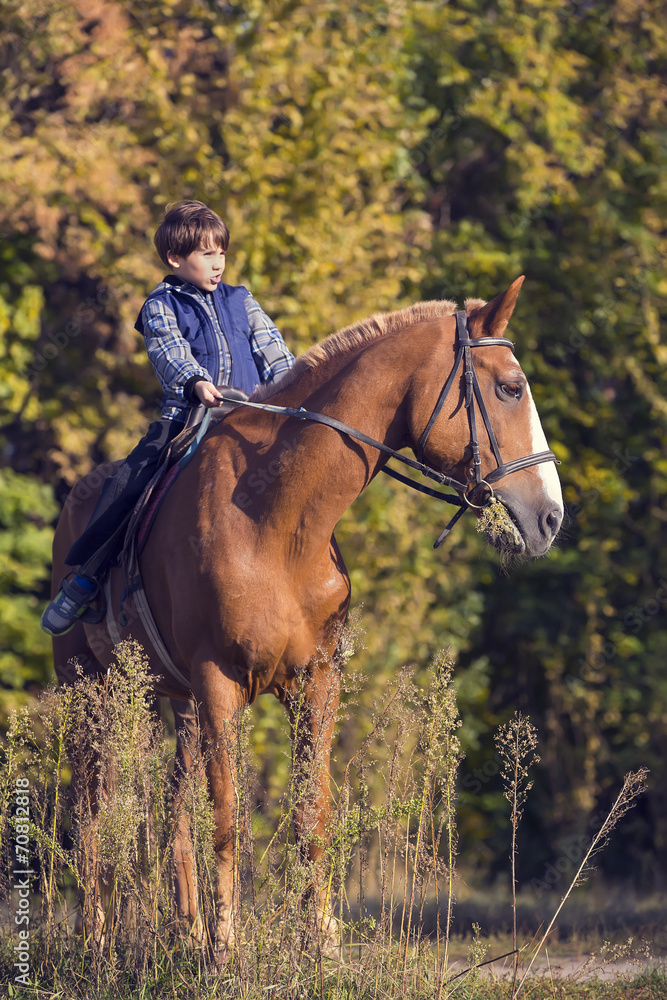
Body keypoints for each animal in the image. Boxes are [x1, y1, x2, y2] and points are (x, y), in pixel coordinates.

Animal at [50, 276, 563, 957]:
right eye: (510, 387)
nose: (551, 518)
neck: (276, 520)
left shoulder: (314, 684)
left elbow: (309, 810)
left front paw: (318, 940)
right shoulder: (218, 684)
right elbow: (227, 817)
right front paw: (226, 947)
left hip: (174, 703)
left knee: (173, 816)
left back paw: (185, 930)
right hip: (90, 691)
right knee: (91, 808)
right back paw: (99, 937)